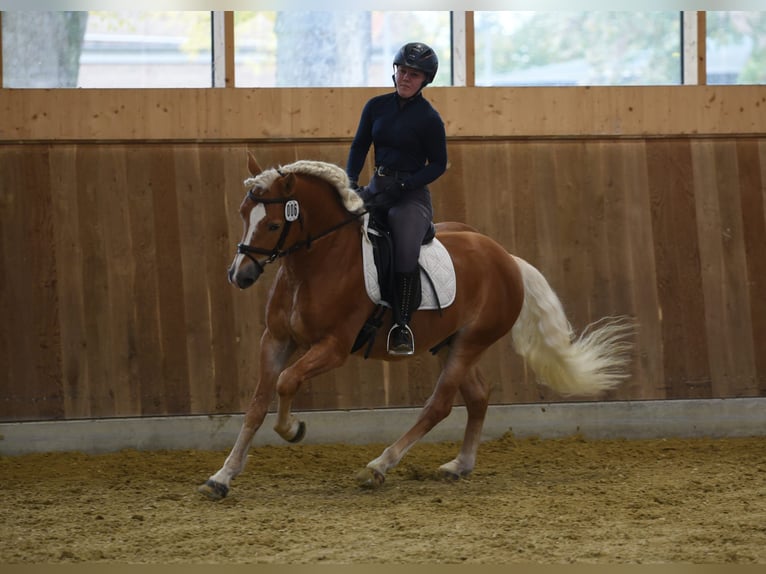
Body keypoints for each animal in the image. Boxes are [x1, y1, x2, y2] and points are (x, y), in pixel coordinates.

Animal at [198, 155, 636, 502]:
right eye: (243, 214)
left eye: (273, 226)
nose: (239, 275)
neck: (316, 264)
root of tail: (506, 257)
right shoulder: (275, 340)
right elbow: (257, 404)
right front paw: (222, 477)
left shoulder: (333, 347)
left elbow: (287, 382)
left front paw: (293, 429)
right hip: (449, 342)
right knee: (478, 396)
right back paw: (459, 465)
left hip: (471, 341)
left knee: (439, 405)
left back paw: (378, 466)